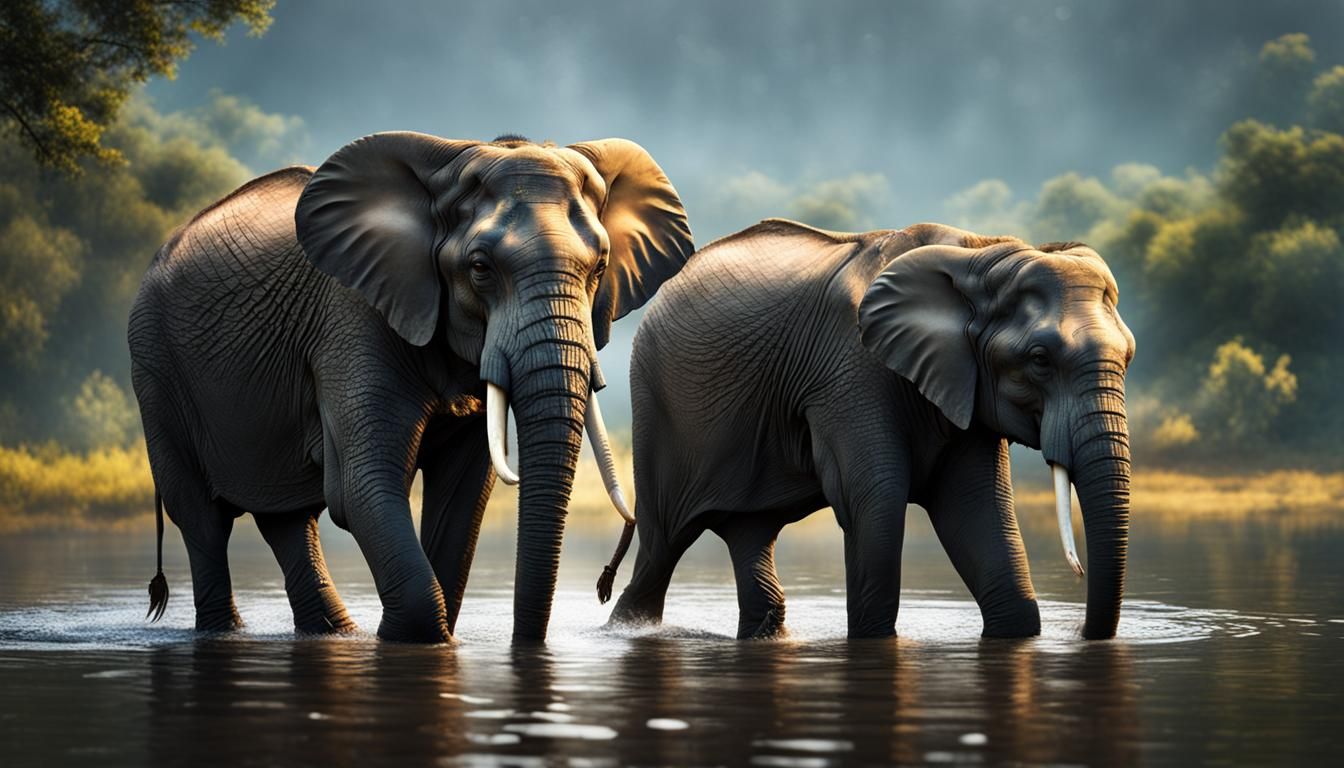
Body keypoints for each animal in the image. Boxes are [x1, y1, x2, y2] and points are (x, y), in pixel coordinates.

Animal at [129, 131, 692, 642]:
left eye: (599, 267)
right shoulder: (352, 321)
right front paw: (411, 637)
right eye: (480, 268)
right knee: (202, 519)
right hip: (155, 369)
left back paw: (334, 634)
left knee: (286, 519)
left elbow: (461, 495)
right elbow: (362, 487)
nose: (602, 583)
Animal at [602, 219, 1134, 640]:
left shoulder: (963, 388)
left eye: (1128, 355)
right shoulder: (849, 374)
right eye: (1040, 359)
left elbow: (977, 510)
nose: (1081, 631)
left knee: (749, 535)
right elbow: (875, 502)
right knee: (661, 547)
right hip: (658, 408)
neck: (979, 254)